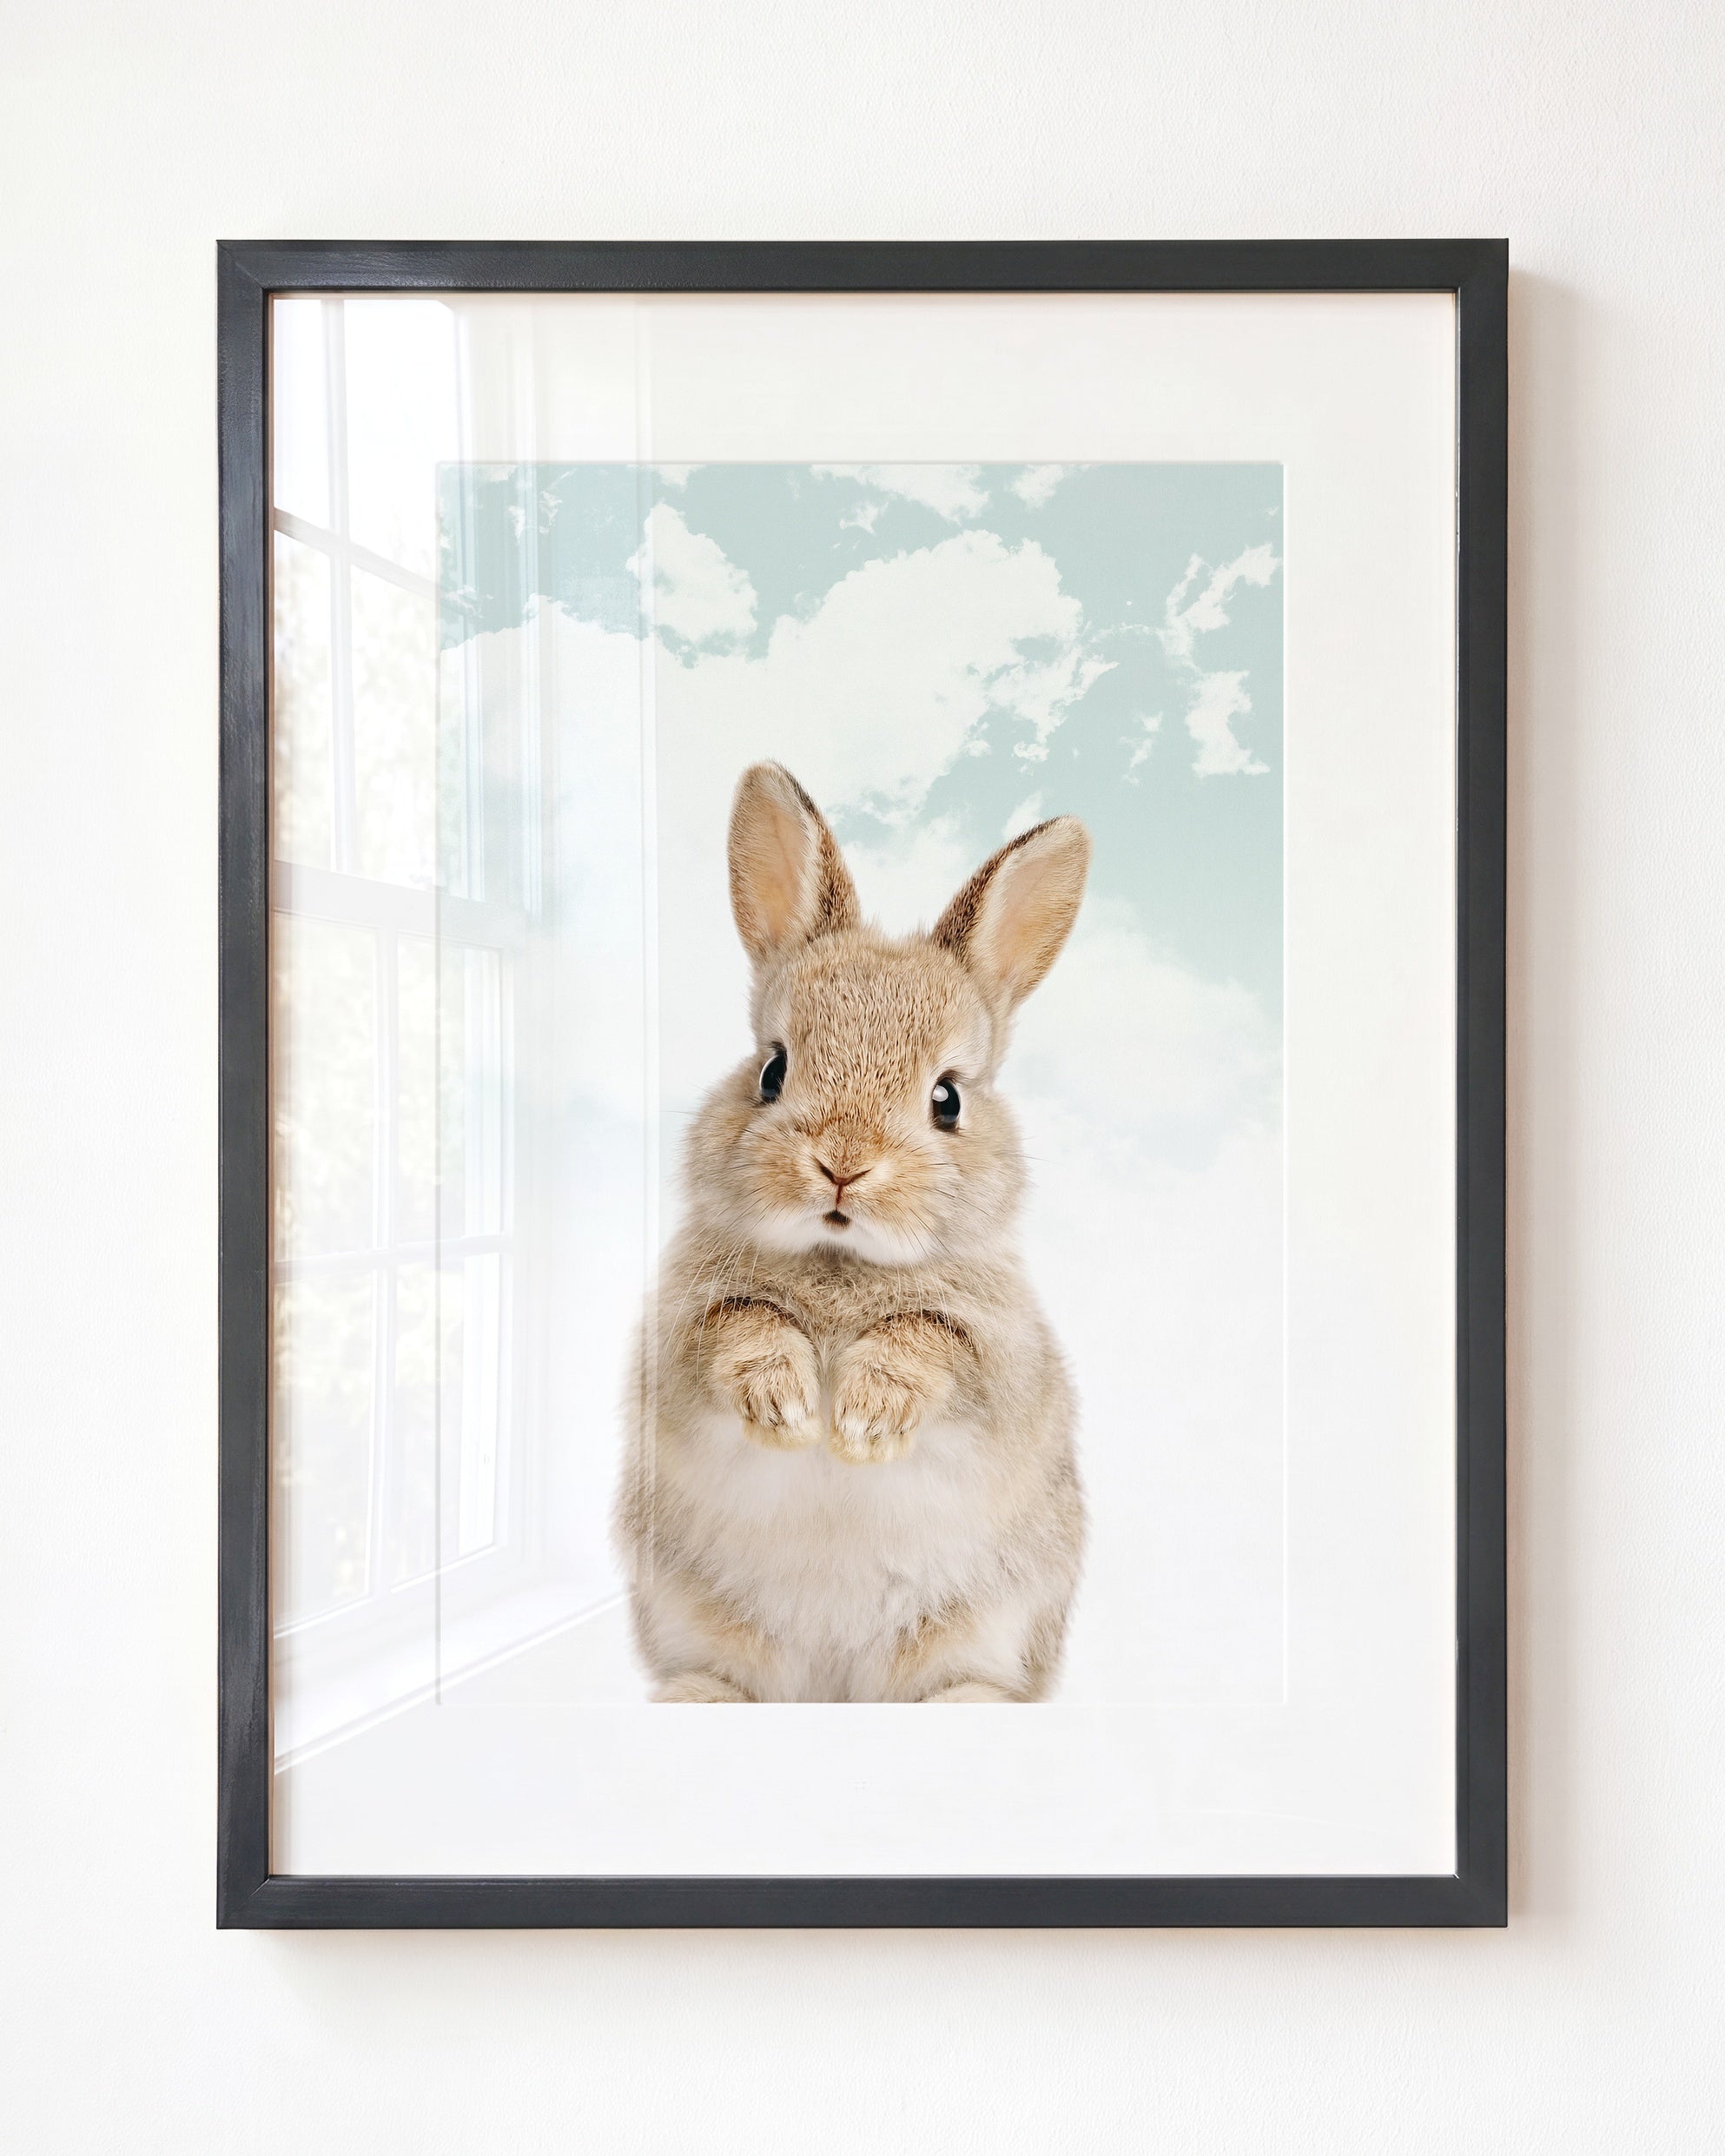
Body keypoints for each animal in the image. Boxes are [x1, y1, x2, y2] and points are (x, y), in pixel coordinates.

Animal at [615, 761, 1090, 1702]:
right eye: (772, 1069)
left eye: (947, 1098)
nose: (842, 1164)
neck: (840, 1261)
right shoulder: (680, 1340)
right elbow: (741, 1327)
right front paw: (789, 1407)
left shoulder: (1000, 1360)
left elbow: (929, 1340)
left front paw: (864, 1421)